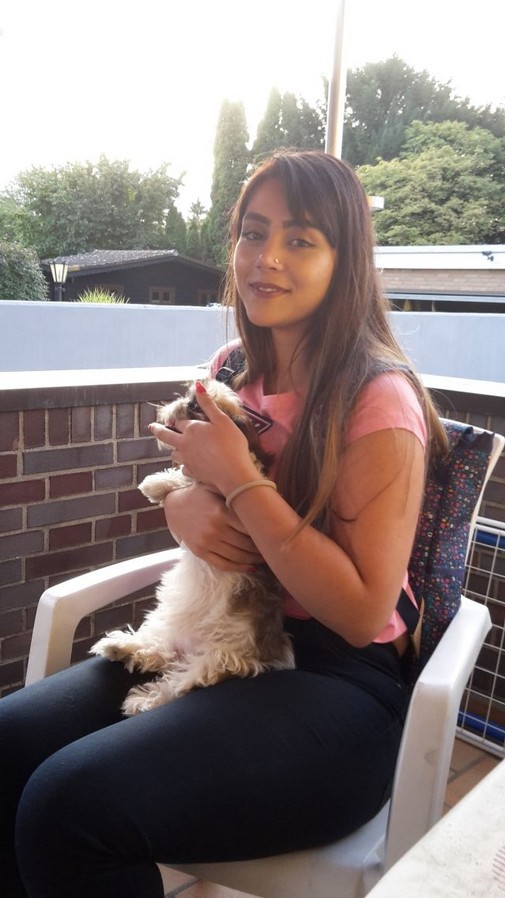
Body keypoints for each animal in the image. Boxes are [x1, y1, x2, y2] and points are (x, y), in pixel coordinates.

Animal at [91, 379, 295, 715]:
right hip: (167, 626)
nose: (178, 404)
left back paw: (145, 699)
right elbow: (186, 480)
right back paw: (122, 646)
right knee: (159, 649)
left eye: (196, 405)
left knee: (178, 682)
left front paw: (156, 484)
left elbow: (193, 481)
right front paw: (158, 484)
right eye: (188, 396)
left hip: (219, 659)